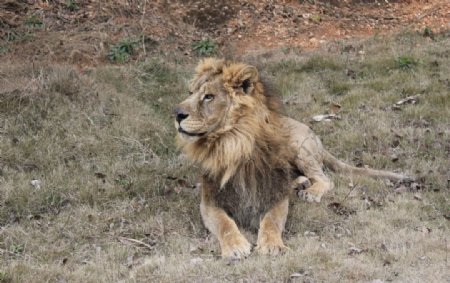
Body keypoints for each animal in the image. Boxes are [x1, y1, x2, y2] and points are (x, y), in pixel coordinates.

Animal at [173, 58, 412, 260]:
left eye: (209, 96)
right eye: (190, 93)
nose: (176, 113)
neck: (233, 144)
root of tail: (316, 137)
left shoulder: (275, 195)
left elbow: (271, 220)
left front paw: (272, 245)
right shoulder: (210, 201)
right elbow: (225, 224)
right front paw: (235, 247)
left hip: (299, 146)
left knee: (325, 178)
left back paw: (311, 191)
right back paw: (300, 183)